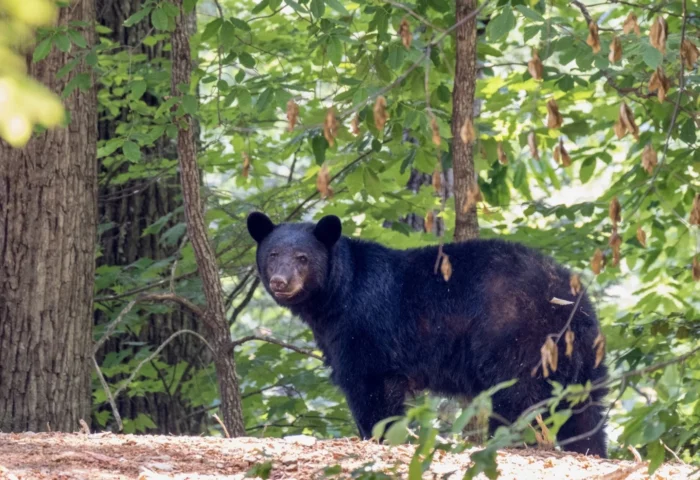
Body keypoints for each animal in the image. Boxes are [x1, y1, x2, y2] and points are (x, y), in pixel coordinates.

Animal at [246, 212, 608, 457]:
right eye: (272, 254)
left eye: (303, 258)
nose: (280, 282)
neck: (336, 296)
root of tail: (575, 302)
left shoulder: (365, 326)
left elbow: (370, 386)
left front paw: (378, 437)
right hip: (581, 358)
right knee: (585, 410)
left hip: (518, 335)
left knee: (517, 397)